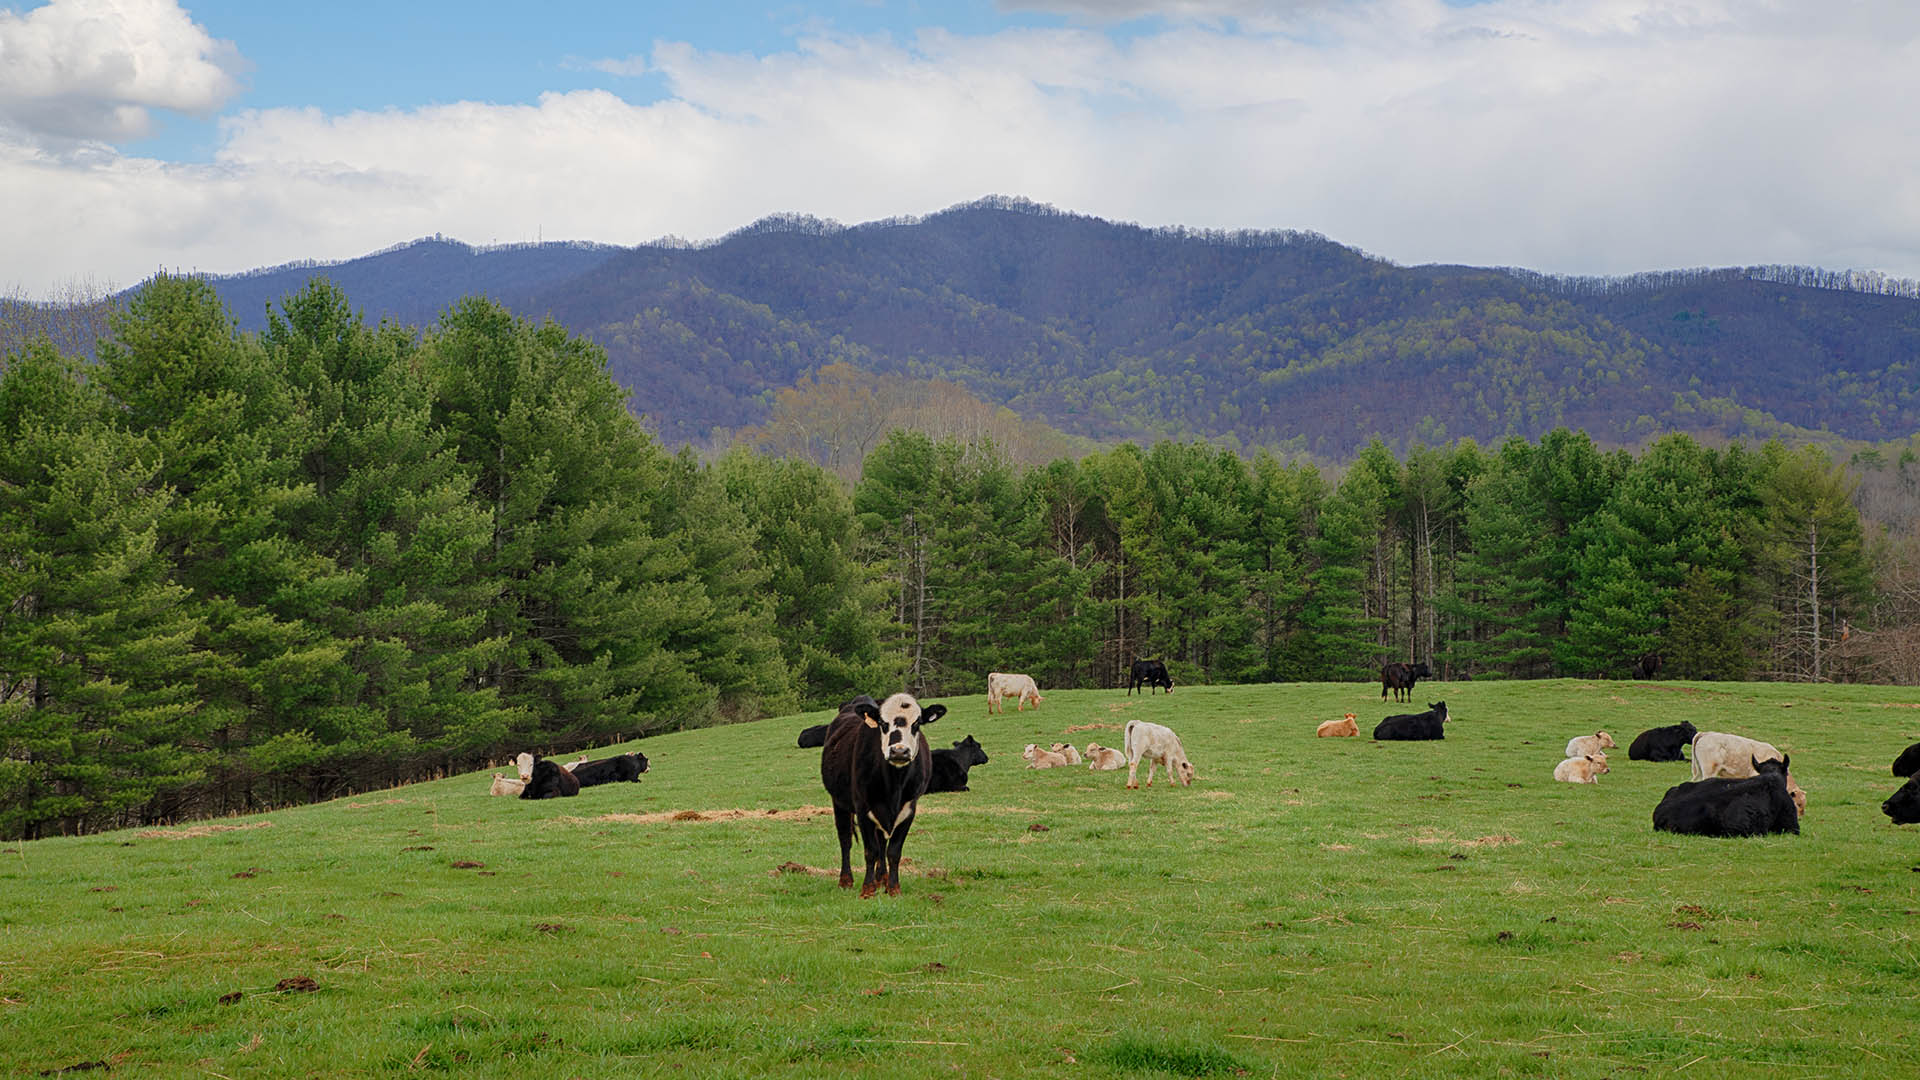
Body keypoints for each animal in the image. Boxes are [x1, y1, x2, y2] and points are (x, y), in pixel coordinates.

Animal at [821, 687, 948, 891]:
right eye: (882, 723)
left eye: (917, 723)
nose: (899, 751)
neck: (894, 784)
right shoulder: (863, 808)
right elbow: (870, 851)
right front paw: (867, 888)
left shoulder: (909, 809)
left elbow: (893, 851)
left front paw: (893, 887)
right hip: (839, 802)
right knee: (845, 839)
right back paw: (846, 880)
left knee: (881, 841)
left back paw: (882, 878)